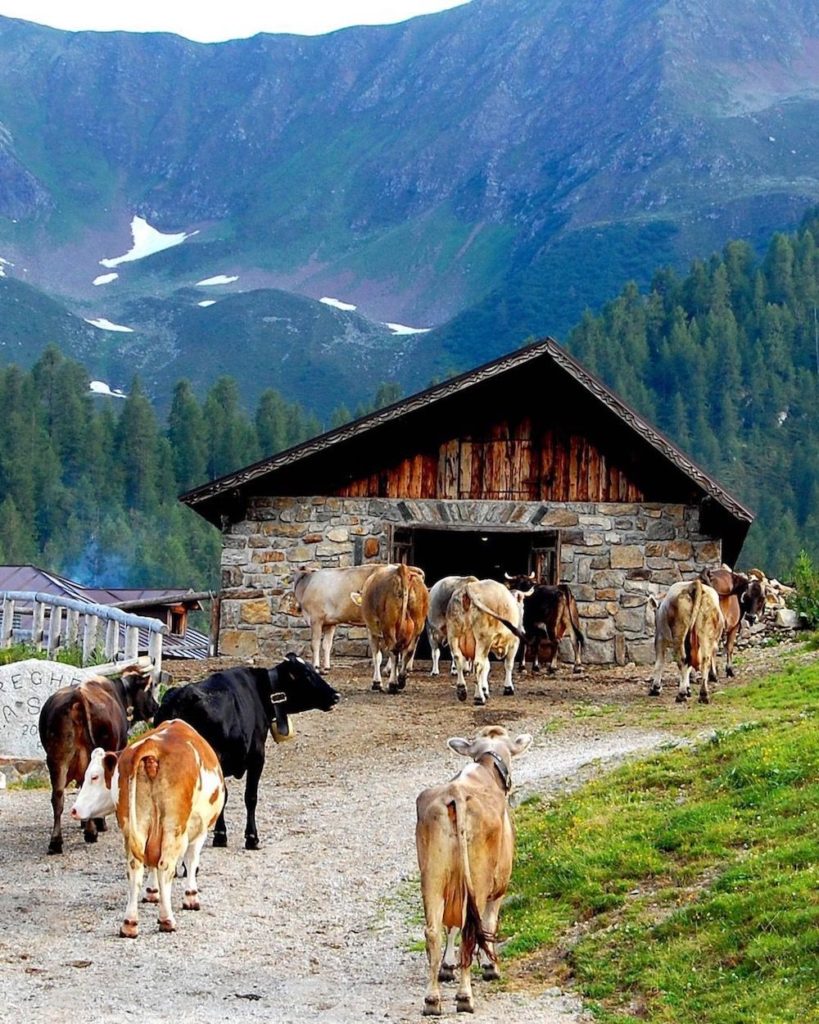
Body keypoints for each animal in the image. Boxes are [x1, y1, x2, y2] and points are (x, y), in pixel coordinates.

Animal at [37, 667, 158, 851]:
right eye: (149, 690)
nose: (156, 707)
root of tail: (78, 696)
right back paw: (91, 832)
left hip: (57, 759)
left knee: (58, 796)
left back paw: (56, 841)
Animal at [68, 720, 224, 937]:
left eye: (94, 777)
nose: (74, 810)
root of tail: (151, 747)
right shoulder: (199, 831)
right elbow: (191, 861)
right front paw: (191, 897)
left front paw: (152, 892)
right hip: (174, 828)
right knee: (165, 866)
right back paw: (167, 920)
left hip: (134, 826)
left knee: (135, 867)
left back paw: (129, 923)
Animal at [153, 655, 339, 847]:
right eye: (307, 674)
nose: (335, 695)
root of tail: (183, 697)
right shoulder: (257, 756)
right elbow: (249, 796)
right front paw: (250, 837)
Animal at [350, 561, 427, 696]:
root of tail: (402, 569)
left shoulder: (372, 631)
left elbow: (377, 656)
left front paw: (377, 683)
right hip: (418, 625)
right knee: (408, 650)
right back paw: (401, 679)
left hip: (389, 626)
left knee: (394, 651)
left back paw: (392, 684)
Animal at [415, 729, 532, 1015]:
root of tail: (456, 793)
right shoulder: (499, 886)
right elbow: (488, 922)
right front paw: (491, 966)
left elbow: (451, 926)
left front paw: (447, 967)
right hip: (478, 880)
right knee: (471, 928)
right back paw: (464, 997)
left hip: (432, 877)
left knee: (433, 931)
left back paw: (432, 1000)